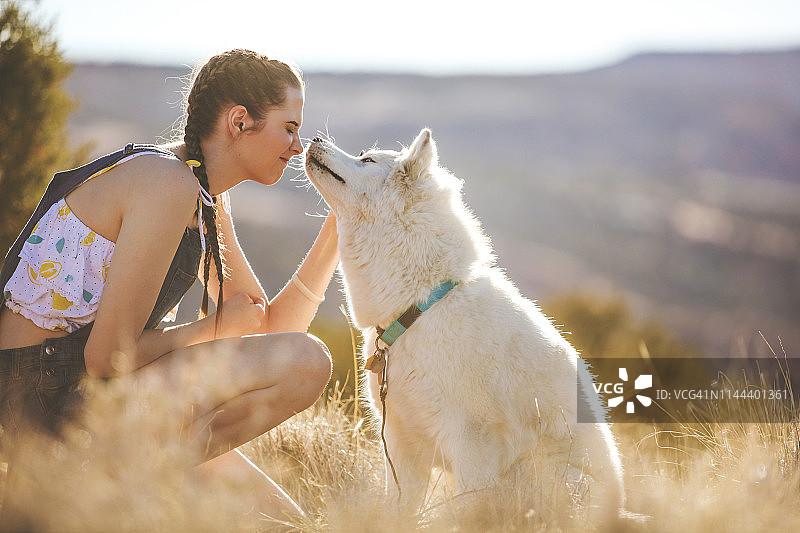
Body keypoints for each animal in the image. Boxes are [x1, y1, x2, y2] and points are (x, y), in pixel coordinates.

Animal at [306, 130, 624, 524]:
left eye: (367, 160)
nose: (314, 137)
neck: (421, 308)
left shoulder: (472, 446)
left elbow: (469, 510)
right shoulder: (401, 444)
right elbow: (400, 509)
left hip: (551, 475)